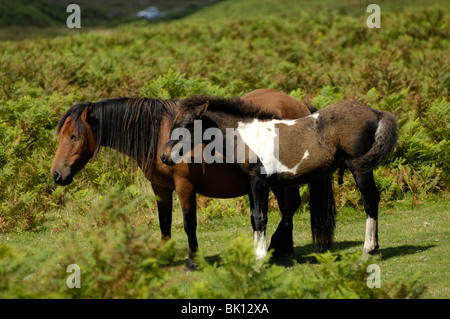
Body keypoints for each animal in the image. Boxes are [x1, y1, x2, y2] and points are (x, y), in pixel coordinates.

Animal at [51, 88, 336, 270]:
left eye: (74, 136)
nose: (56, 174)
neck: (160, 135)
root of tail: (301, 106)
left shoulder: (184, 186)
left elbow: (189, 223)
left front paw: (192, 259)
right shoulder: (160, 187)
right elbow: (164, 221)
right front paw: (163, 256)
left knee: (291, 205)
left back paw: (278, 245)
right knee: (289, 206)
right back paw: (283, 248)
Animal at [161, 96, 398, 258]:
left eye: (187, 125)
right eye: (174, 124)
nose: (164, 156)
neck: (247, 136)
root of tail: (375, 112)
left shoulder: (260, 181)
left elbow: (260, 217)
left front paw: (260, 256)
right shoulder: (251, 183)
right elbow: (254, 217)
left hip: (360, 169)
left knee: (370, 200)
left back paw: (369, 247)